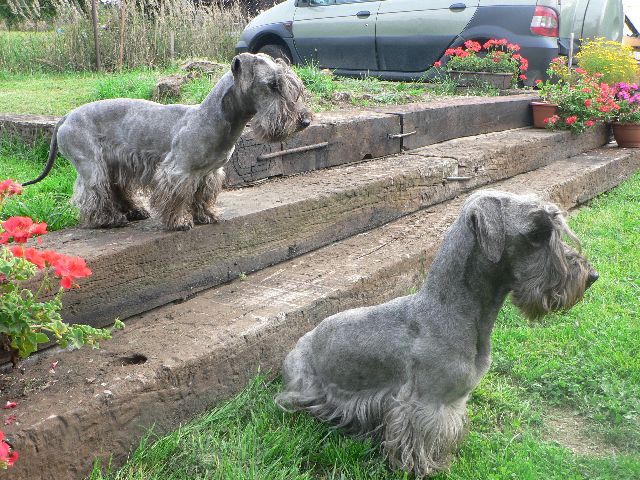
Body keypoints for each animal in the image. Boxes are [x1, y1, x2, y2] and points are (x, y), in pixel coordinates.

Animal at [23, 53, 314, 230]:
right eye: (273, 85)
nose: (305, 121)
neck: (212, 117)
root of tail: (66, 117)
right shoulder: (177, 171)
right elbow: (178, 198)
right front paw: (180, 221)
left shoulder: (209, 173)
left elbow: (203, 196)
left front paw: (207, 215)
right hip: (92, 167)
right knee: (93, 194)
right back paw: (108, 219)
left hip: (113, 165)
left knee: (117, 189)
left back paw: (134, 212)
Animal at [276, 190, 600, 476]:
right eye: (537, 233)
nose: (591, 276)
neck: (454, 312)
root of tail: (299, 345)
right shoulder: (424, 405)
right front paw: (424, 468)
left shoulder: (451, 404)